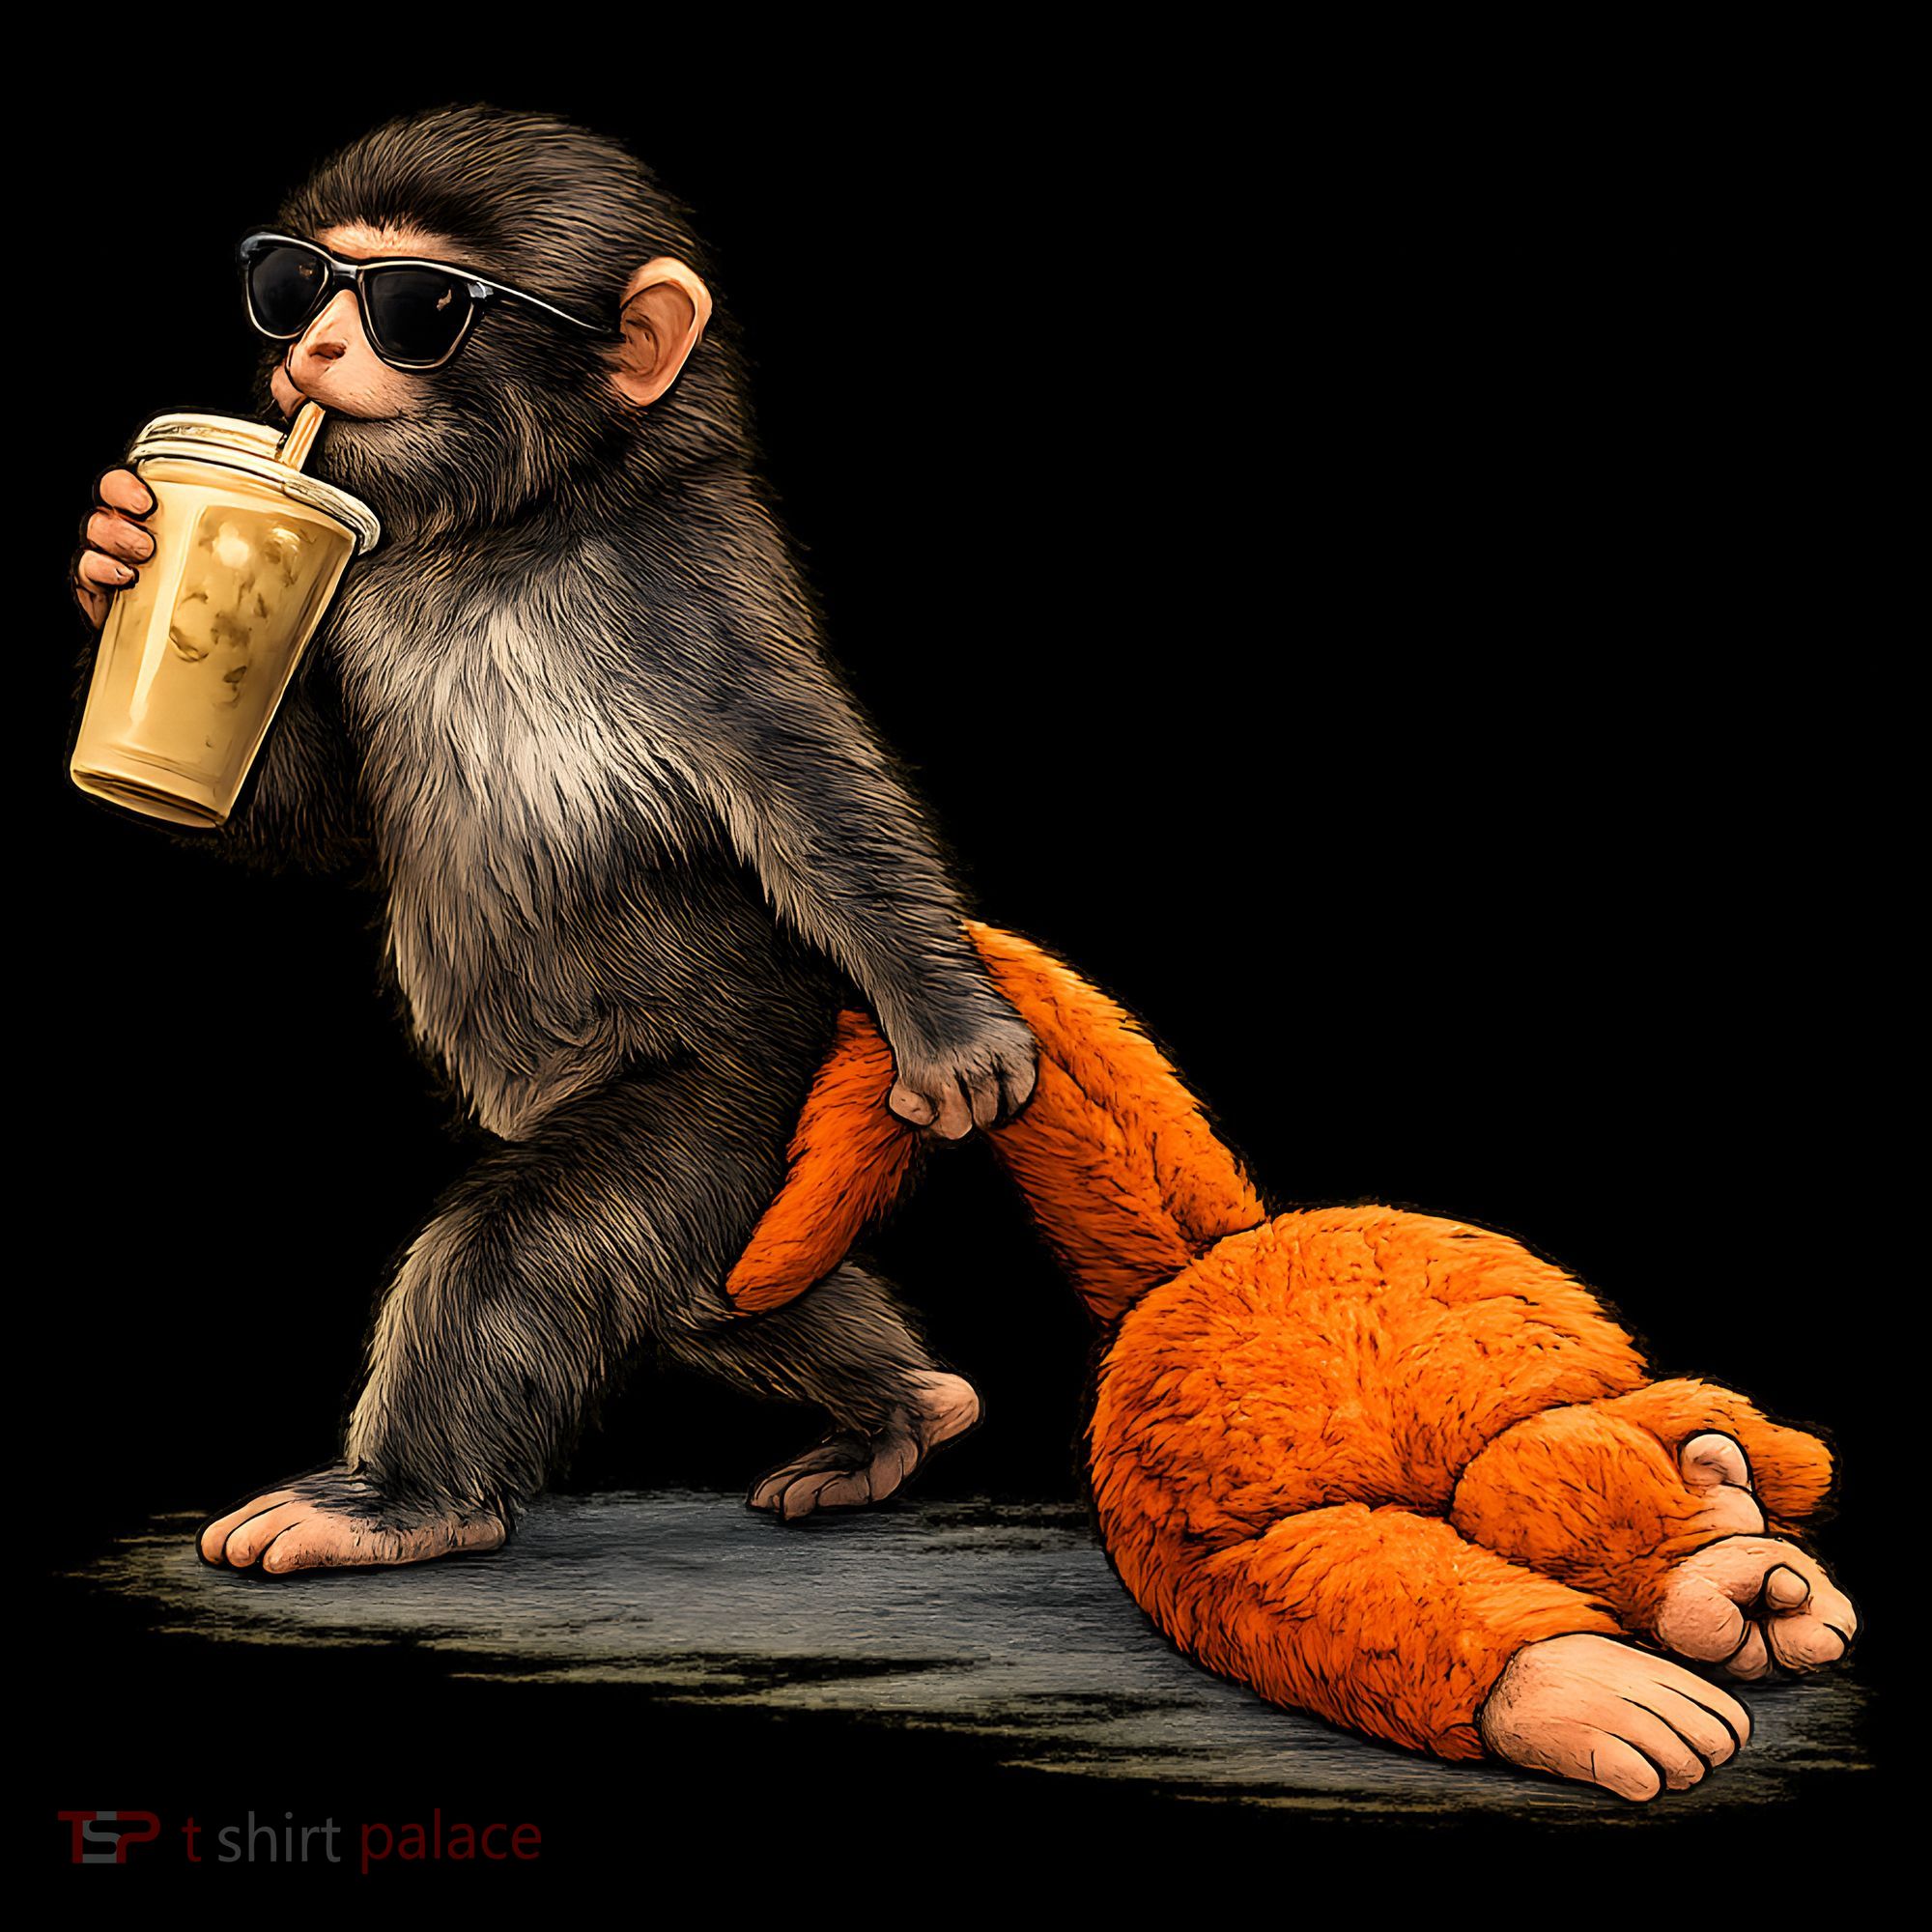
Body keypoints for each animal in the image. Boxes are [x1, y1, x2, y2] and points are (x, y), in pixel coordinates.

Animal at [72, 105, 1038, 1574]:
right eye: (293, 279)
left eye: (422, 306)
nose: (314, 346)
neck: (512, 530)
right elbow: (318, 821)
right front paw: (120, 546)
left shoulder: (691, 596)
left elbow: (809, 793)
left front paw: (956, 1031)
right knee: (719, 1293)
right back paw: (902, 1410)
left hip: (736, 1082)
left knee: (537, 1248)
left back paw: (398, 1502)